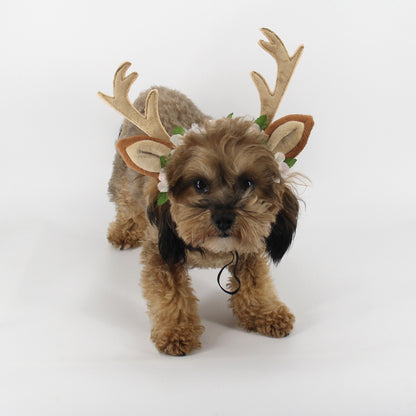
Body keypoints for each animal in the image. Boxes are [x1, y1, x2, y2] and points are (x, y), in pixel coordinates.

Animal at [99, 28, 314, 354]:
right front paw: (176, 331)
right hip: (122, 177)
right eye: (199, 184)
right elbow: (171, 295)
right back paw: (124, 231)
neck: (213, 251)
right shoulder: (161, 254)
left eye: (247, 182)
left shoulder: (249, 250)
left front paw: (265, 312)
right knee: (124, 203)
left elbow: (256, 283)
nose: (224, 218)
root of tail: (156, 88)